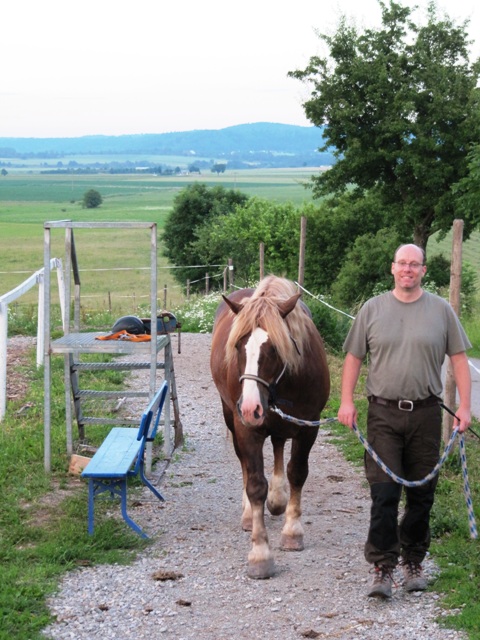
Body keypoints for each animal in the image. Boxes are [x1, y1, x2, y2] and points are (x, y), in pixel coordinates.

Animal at [210, 276, 330, 580]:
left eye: (275, 347)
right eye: (238, 345)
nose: (250, 407)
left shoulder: (308, 427)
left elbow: (297, 473)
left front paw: (292, 532)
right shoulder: (247, 430)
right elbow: (255, 485)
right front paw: (260, 555)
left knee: (277, 446)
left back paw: (277, 499)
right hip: (233, 418)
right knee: (246, 463)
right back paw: (248, 514)